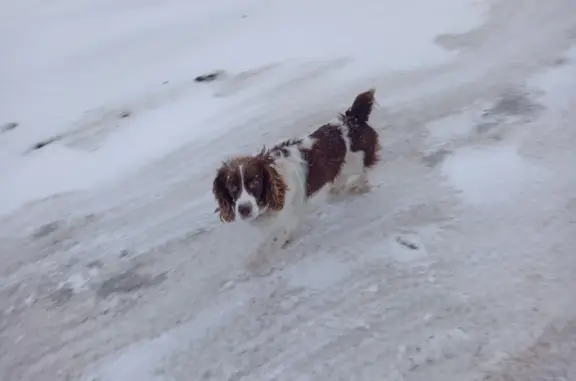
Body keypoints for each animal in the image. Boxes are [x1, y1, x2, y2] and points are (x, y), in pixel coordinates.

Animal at [214, 88, 380, 248]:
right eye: (232, 186)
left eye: (254, 182)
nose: (244, 209)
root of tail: (353, 118)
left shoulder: (289, 217)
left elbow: (280, 237)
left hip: (358, 160)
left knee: (364, 172)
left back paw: (359, 186)